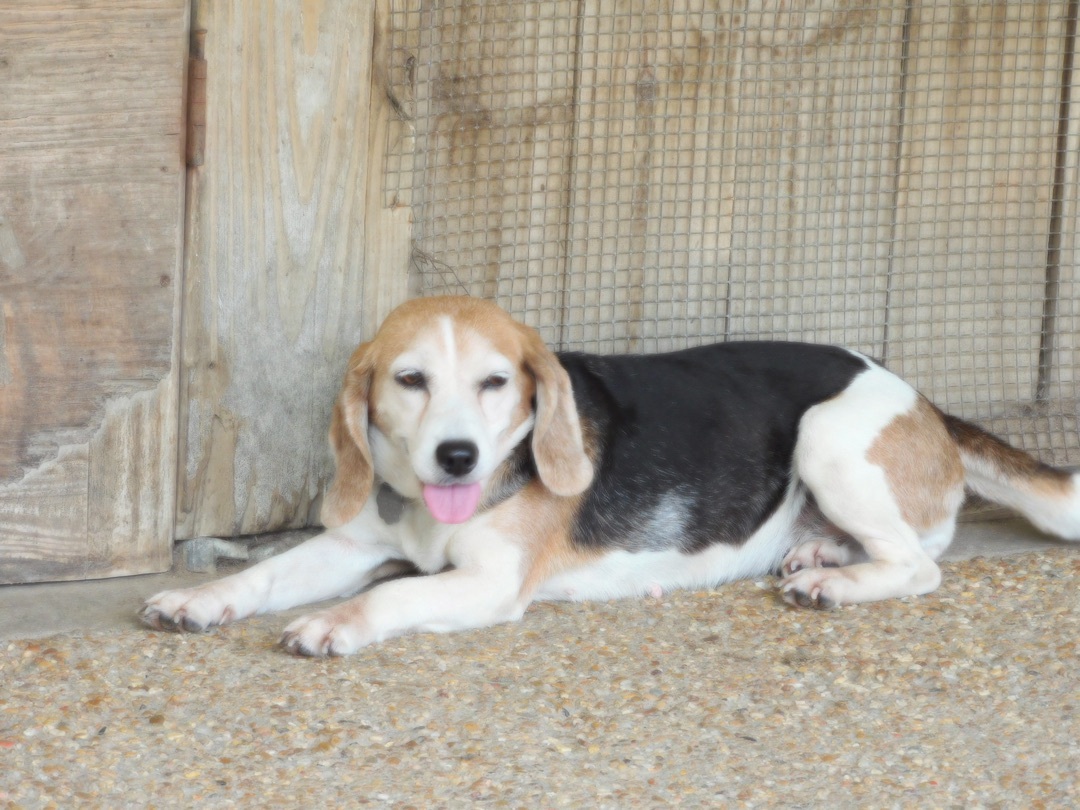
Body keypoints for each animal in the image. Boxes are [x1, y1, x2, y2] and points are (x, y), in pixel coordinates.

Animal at [139, 295, 1075, 656]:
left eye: (496, 382)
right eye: (409, 380)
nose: (456, 456)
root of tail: (925, 399)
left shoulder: (489, 583)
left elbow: (393, 594)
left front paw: (335, 623)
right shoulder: (354, 541)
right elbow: (266, 575)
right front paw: (199, 600)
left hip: (829, 436)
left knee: (919, 564)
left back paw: (834, 584)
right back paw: (820, 555)